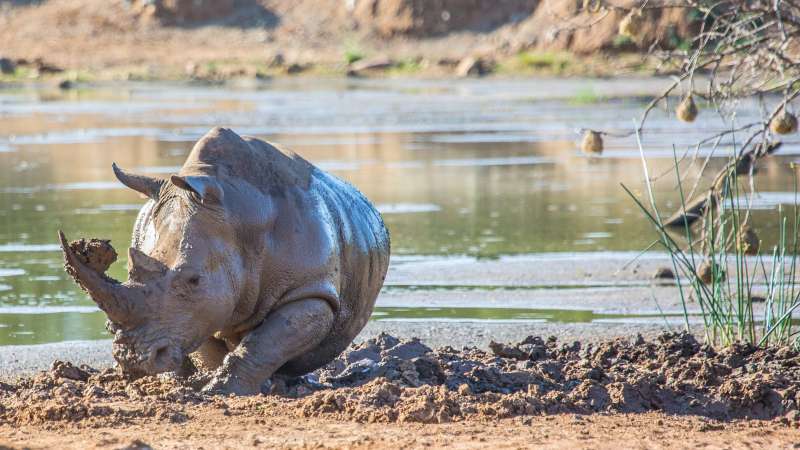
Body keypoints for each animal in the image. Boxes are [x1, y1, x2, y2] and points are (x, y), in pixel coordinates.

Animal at [59, 127, 390, 395]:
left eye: (193, 279)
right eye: (128, 271)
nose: (134, 360)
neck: (238, 216)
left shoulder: (310, 290)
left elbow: (267, 341)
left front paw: (224, 390)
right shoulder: (199, 309)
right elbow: (206, 341)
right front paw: (208, 384)